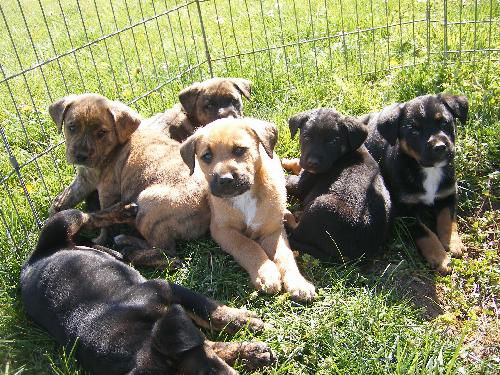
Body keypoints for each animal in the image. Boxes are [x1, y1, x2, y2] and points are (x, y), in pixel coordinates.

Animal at [20, 206, 274, 375]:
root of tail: (33, 260)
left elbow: (208, 310)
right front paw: (250, 353)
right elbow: (209, 343)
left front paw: (245, 323)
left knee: (88, 218)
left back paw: (123, 214)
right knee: (117, 250)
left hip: (63, 222)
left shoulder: (163, 288)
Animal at [48, 94, 209, 268]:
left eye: (101, 133)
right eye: (72, 127)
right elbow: (66, 198)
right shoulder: (84, 180)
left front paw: (100, 239)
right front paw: (56, 213)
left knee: (168, 253)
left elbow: (102, 219)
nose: (80, 156)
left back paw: (128, 246)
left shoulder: (107, 192)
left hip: (148, 204)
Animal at [180, 118, 316, 302]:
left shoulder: (272, 230)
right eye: (206, 156)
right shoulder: (222, 230)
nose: (225, 180)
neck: (245, 196)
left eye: (239, 150)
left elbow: (285, 255)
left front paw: (298, 283)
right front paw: (266, 273)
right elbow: (248, 245)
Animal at [284, 108, 392, 264]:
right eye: (306, 137)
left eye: (332, 141)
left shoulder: (302, 184)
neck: (345, 154)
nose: (312, 163)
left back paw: (287, 215)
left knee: (297, 232)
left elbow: (287, 179)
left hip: (321, 205)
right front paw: (287, 161)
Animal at [362, 94, 466, 276]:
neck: (429, 170)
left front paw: (452, 243)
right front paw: (440, 258)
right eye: (414, 130)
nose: (440, 147)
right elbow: (424, 232)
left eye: (444, 122)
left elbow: (447, 219)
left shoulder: (448, 193)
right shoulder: (404, 210)